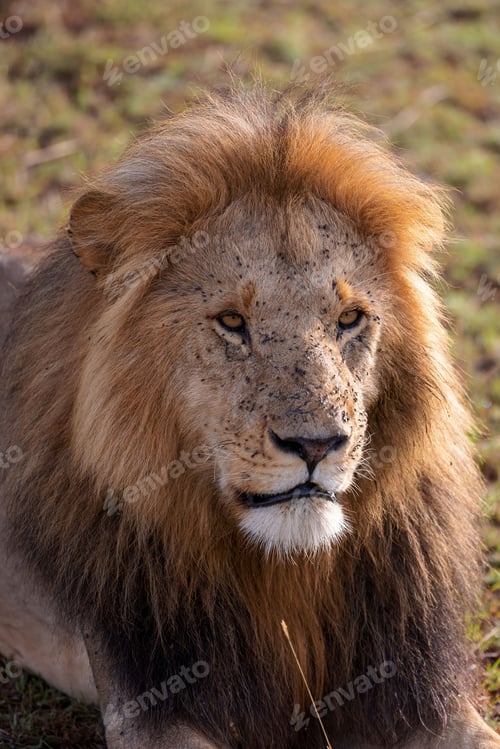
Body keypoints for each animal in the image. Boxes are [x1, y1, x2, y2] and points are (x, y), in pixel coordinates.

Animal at [0, 85, 498, 749]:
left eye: (350, 319)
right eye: (232, 322)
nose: (316, 445)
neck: (283, 573)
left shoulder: (424, 695)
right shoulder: (151, 702)